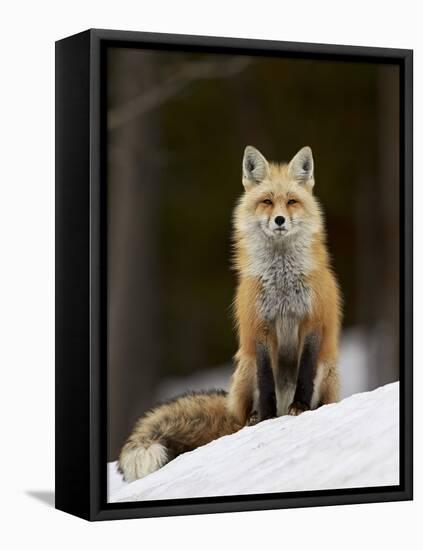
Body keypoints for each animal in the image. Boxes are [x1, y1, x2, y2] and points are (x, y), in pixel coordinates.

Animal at [118, 147, 342, 484]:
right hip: (244, 369)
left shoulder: (312, 322)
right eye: (266, 201)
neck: (282, 281)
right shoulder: (259, 329)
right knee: (245, 410)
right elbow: (266, 381)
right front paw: (266, 418)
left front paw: (301, 408)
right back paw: (253, 419)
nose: (279, 220)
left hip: (327, 372)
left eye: (291, 201)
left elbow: (304, 373)